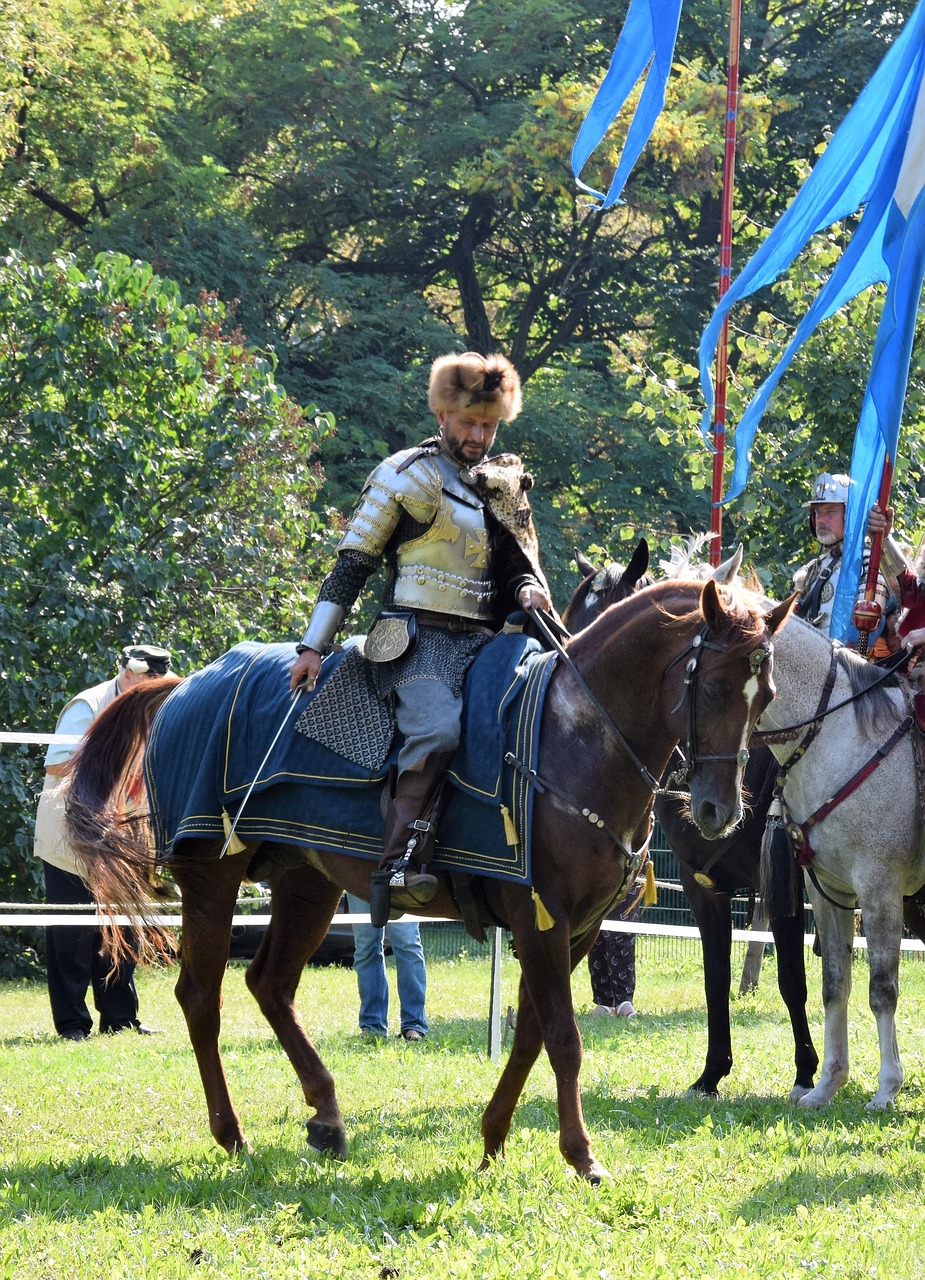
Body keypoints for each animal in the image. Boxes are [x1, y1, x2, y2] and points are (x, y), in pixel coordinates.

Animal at [65, 578, 793, 1177]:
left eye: (765, 696)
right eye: (712, 686)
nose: (718, 812)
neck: (576, 739)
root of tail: (186, 687)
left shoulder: (577, 927)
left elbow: (531, 1033)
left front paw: (494, 1137)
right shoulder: (541, 918)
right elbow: (562, 1037)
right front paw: (581, 1154)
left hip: (308, 884)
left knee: (269, 984)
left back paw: (327, 1118)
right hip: (212, 878)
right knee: (200, 997)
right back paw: (232, 1133)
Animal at [757, 611, 925, 1111]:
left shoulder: (880, 889)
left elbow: (882, 989)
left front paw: (887, 1088)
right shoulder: (827, 891)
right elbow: (835, 984)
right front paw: (827, 1083)